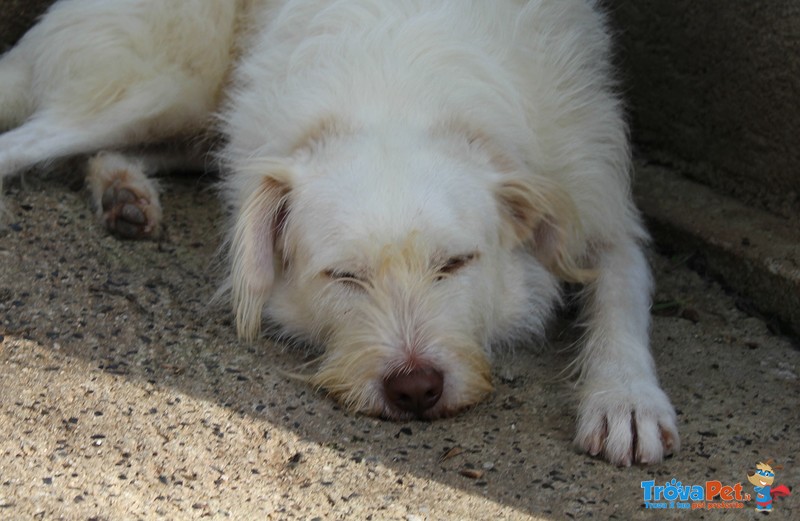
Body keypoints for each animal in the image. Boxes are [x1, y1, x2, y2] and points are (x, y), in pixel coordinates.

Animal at [0, 0, 680, 464]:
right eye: (344, 276)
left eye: (455, 263)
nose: (415, 390)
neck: (403, 95)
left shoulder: (602, 208)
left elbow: (621, 296)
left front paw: (626, 400)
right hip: (159, 87)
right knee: (30, 141)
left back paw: (124, 192)